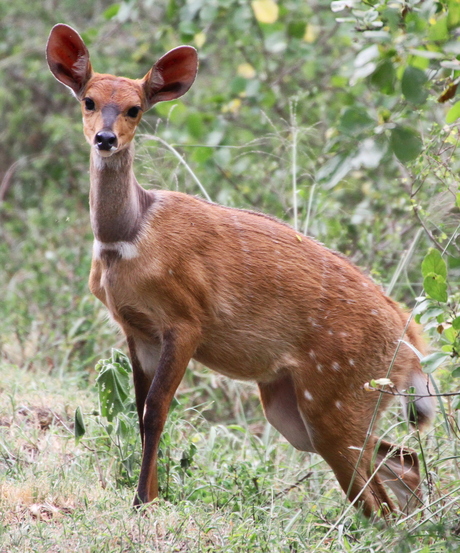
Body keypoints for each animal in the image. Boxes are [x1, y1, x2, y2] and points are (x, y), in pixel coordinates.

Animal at [46, 23, 434, 516]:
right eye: (88, 100)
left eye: (135, 108)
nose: (106, 139)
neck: (128, 238)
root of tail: (411, 345)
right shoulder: (137, 330)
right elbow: (140, 411)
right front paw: (150, 497)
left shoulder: (186, 322)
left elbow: (156, 411)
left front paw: (142, 502)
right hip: (290, 408)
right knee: (403, 462)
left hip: (338, 398)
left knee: (377, 498)